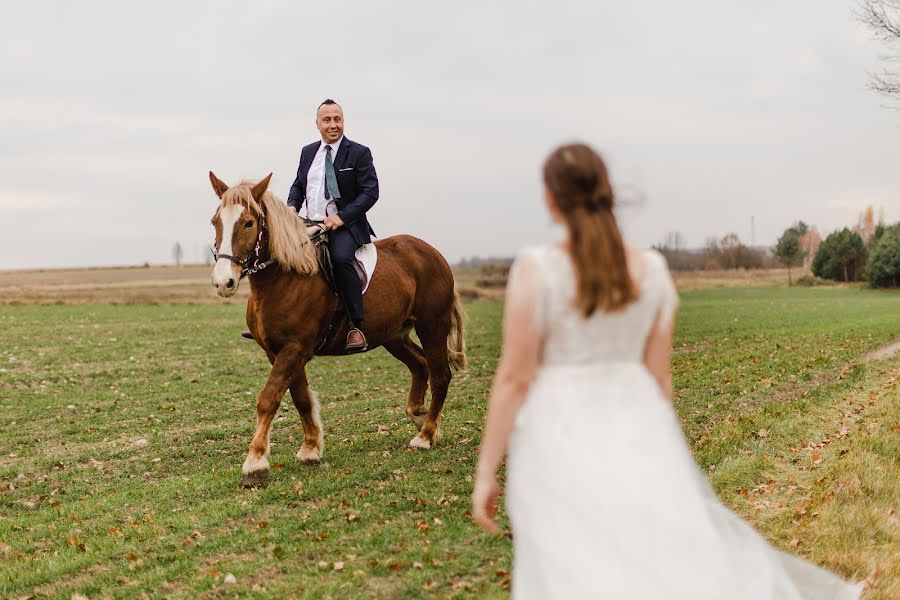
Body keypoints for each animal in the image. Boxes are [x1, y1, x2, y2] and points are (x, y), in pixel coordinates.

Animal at [208, 171, 468, 486]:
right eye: (215, 221)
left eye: (248, 223)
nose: (224, 282)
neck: (285, 277)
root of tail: (433, 253)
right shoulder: (279, 352)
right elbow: (300, 398)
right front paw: (310, 449)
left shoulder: (294, 349)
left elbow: (269, 399)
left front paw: (255, 463)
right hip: (393, 335)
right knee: (420, 365)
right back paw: (419, 416)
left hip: (433, 326)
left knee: (441, 374)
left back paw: (426, 435)